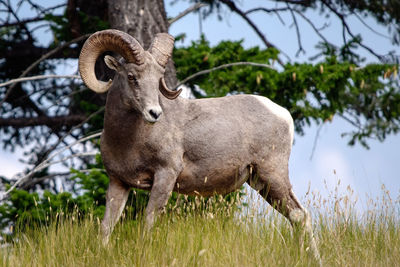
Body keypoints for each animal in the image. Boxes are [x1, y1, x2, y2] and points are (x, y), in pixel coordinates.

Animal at [79, 29, 322, 262]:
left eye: (157, 78)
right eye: (131, 76)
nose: (154, 113)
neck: (128, 141)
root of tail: (283, 114)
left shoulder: (165, 175)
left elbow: (148, 222)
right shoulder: (118, 183)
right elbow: (106, 227)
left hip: (272, 175)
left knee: (300, 215)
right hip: (260, 182)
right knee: (296, 217)